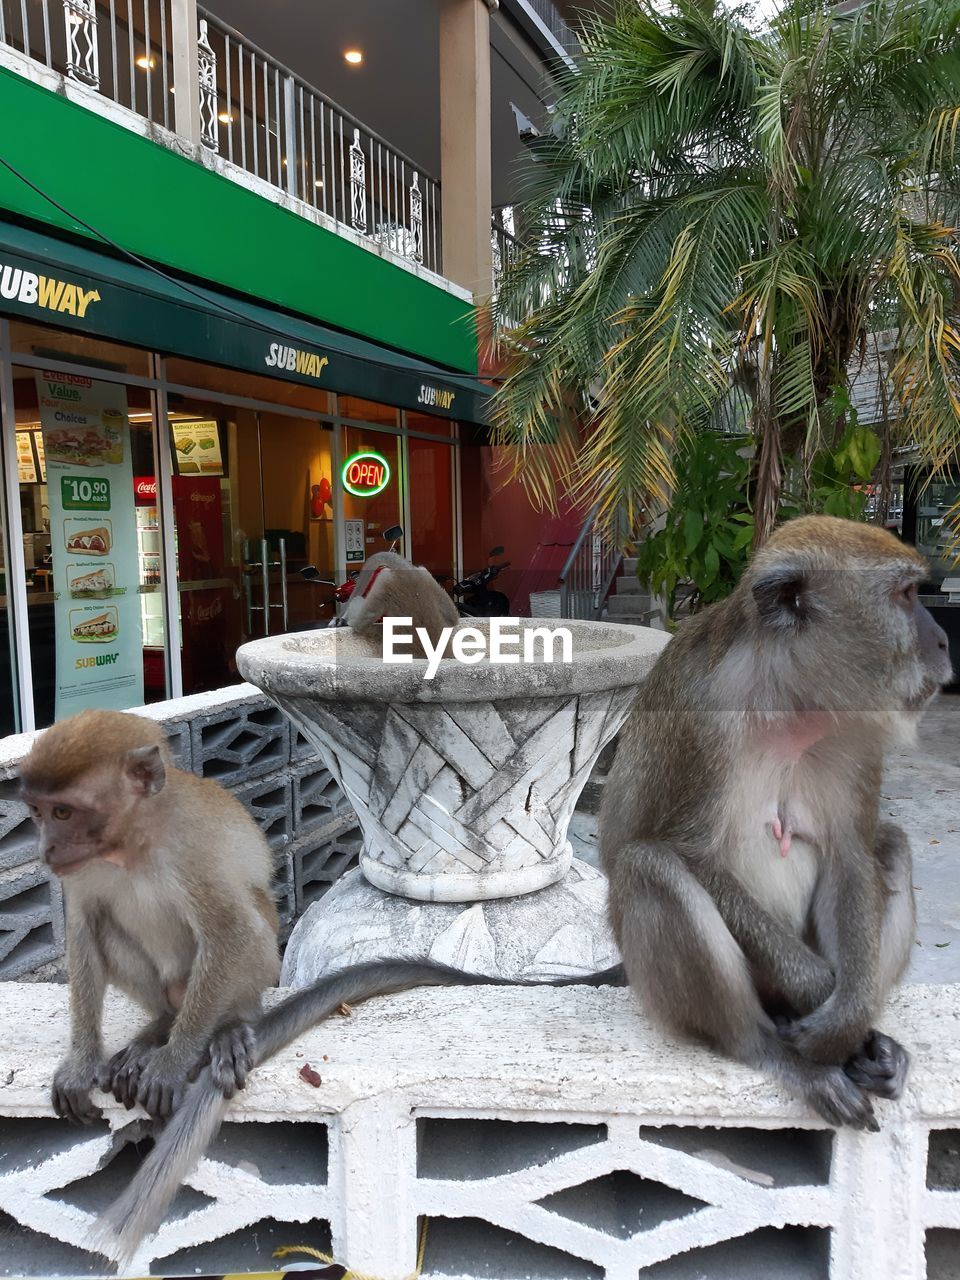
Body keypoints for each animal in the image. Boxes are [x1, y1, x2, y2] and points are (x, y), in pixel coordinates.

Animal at [20, 716, 280, 1126]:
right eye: (36, 811)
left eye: (62, 812)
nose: (46, 849)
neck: (133, 843)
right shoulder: (80, 866)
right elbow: (83, 930)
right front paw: (82, 1062)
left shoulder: (192, 847)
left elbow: (232, 930)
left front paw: (172, 1063)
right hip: (168, 993)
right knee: (107, 931)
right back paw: (159, 1027)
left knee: (253, 921)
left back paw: (228, 1026)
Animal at [601, 509, 957, 1131]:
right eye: (907, 594)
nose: (941, 639)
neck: (789, 696)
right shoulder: (702, 716)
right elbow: (692, 854)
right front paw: (823, 1001)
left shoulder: (859, 728)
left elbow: (851, 858)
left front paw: (851, 1016)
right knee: (650, 866)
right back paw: (774, 1051)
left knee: (890, 845)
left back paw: (876, 1046)